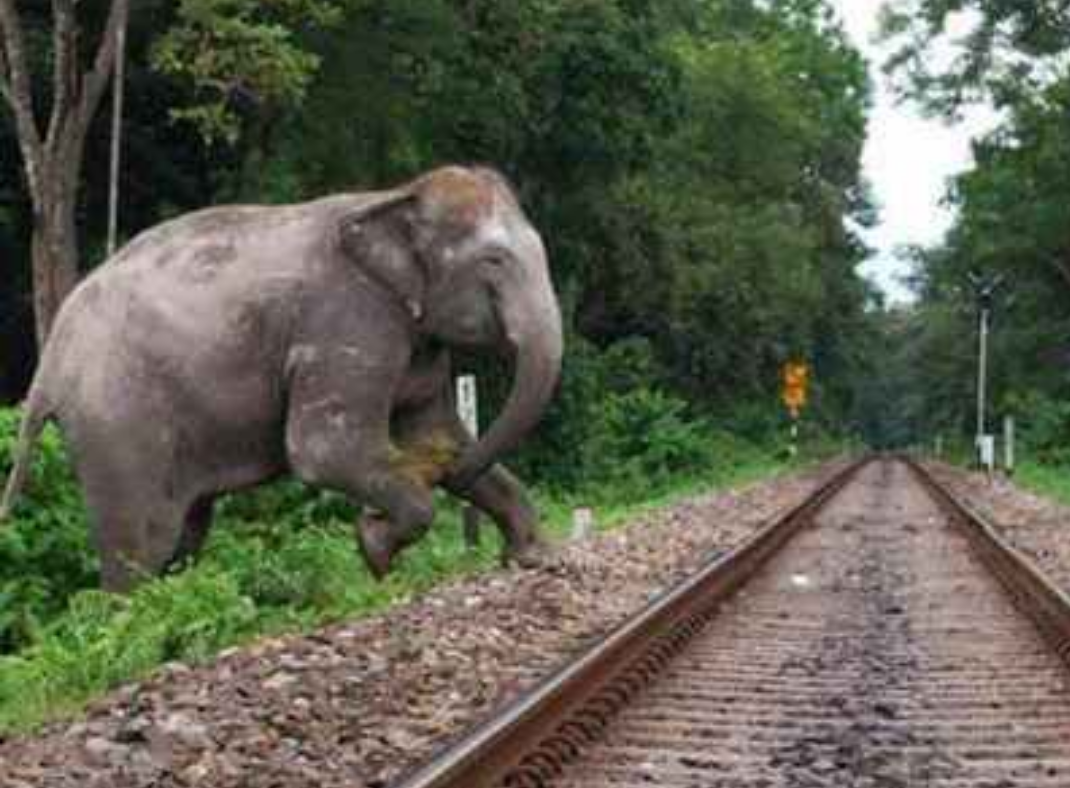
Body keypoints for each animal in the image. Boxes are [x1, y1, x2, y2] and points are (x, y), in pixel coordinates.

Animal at [0, 165, 563, 592]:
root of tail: (48, 367)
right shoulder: (348, 320)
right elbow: (322, 450)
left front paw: (533, 559)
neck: (394, 195)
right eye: (494, 260)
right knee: (144, 543)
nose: (441, 471)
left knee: (184, 534)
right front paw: (376, 550)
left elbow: (434, 431)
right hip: (118, 422)